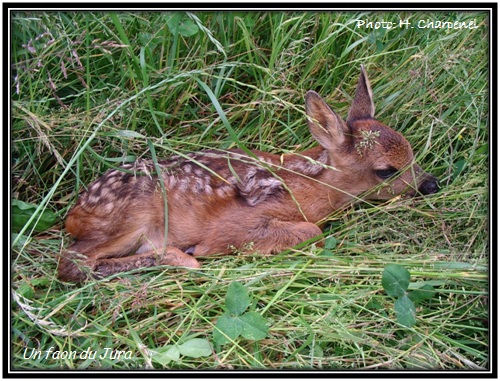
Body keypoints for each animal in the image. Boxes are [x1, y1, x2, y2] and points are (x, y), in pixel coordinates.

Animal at [58, 65, 438, 280]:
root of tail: (73, 213)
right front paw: (201, 251)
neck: (309, 187)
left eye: (412, 151)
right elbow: (312, 230)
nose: (430, 184)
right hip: (132, 217)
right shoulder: (236, 225)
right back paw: (181, 259)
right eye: (386, 171)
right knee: (73, 264)